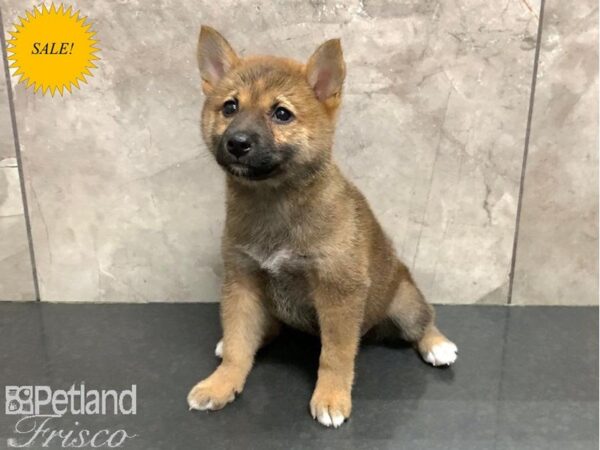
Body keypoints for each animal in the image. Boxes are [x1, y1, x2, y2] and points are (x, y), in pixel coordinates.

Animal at [185, 25, 458, 428]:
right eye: (230, 107)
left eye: (281, 114)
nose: (236, 142)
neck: (274, 203)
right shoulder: (243, 281)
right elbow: (237, 344)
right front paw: (220, 384)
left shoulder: (337, 290)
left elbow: (335, 355)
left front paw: (330, 397)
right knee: (262, 330)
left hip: (405, 302)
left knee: (423, 322)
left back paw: (438, 345)